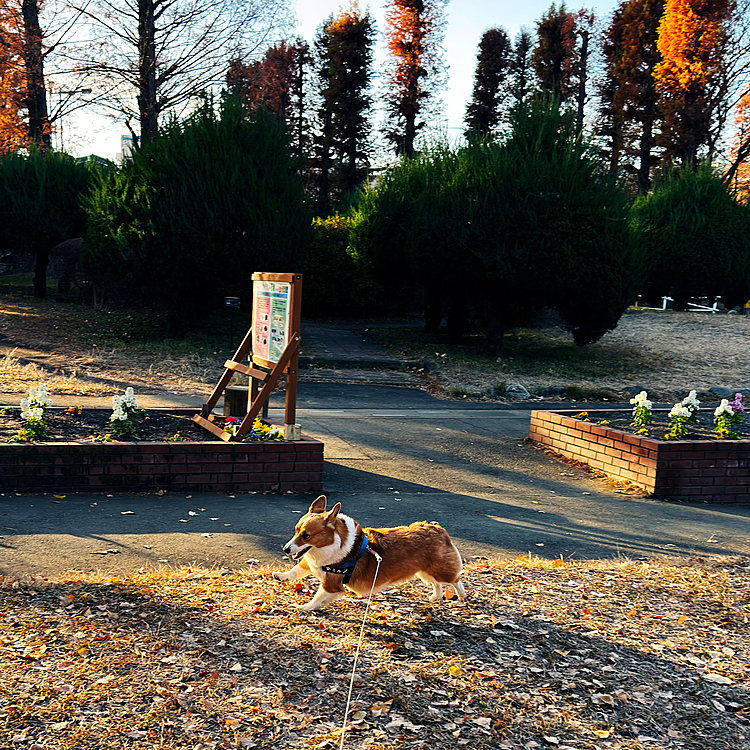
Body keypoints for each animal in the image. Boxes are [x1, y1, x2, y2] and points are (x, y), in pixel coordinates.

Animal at [274, 500, 468, 612]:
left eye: (306, 535)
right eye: (296, 531)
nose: (286, 549)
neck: (333, 543)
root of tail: (439, 529)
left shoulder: (332, 584)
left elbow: (318, 597)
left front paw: (305, 607)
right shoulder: (312, 563)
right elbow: (296, 569)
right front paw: (281, 576)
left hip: (440, 570)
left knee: (455, 579)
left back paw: (461, 596)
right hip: (424, 572)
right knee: (437, 583)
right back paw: (436, 596)